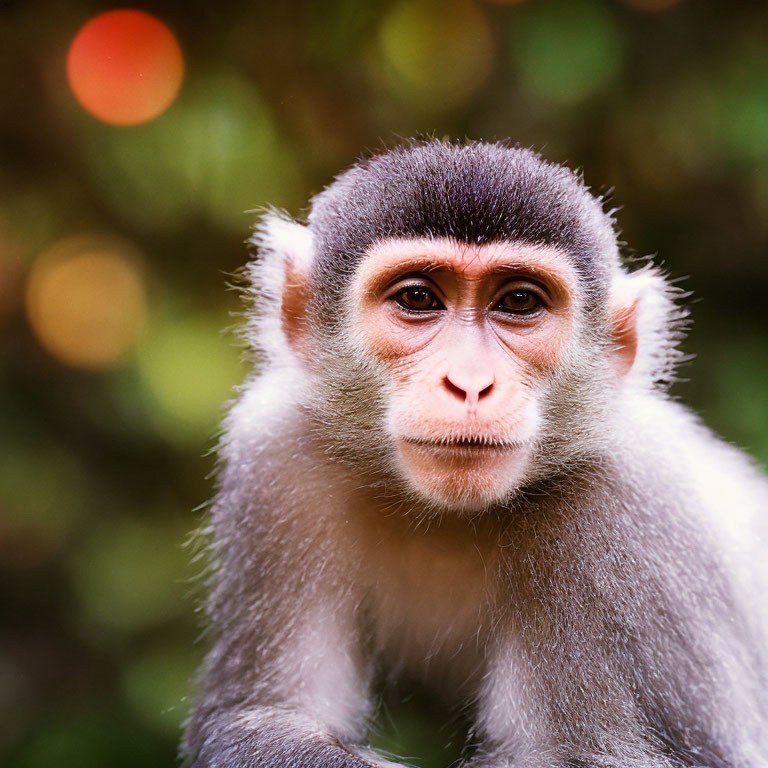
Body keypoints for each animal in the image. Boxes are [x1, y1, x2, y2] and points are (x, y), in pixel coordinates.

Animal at [182, 140, 768, 768]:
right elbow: (264, 717)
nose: (469, 384)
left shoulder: (630, 510)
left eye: (519, 301)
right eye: (418, 297)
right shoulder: (278, 458)